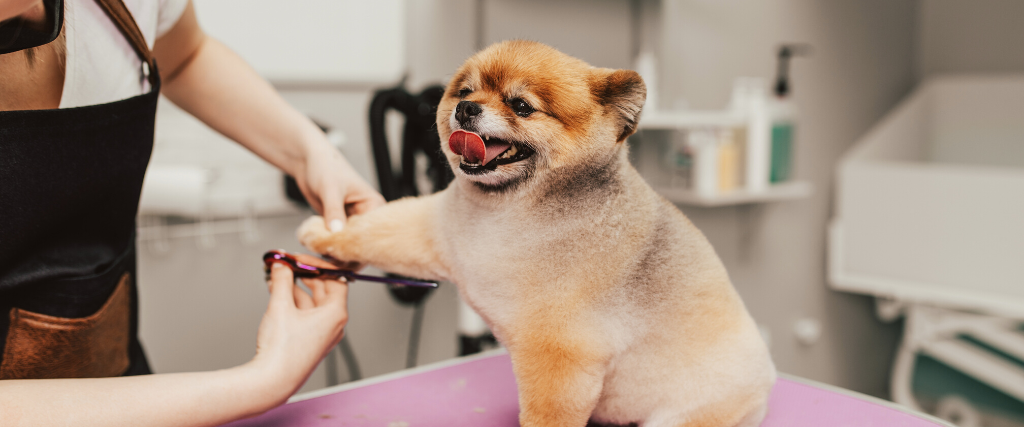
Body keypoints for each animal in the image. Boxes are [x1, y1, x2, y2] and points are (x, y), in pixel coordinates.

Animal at [299, 40, 770, 425]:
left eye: (522, 106)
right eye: (465, 92)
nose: (466, 110)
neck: (507, 214)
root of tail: (763, 371)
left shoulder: (560, 357)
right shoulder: (435, 230)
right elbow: (377, 229)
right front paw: (325, 231)